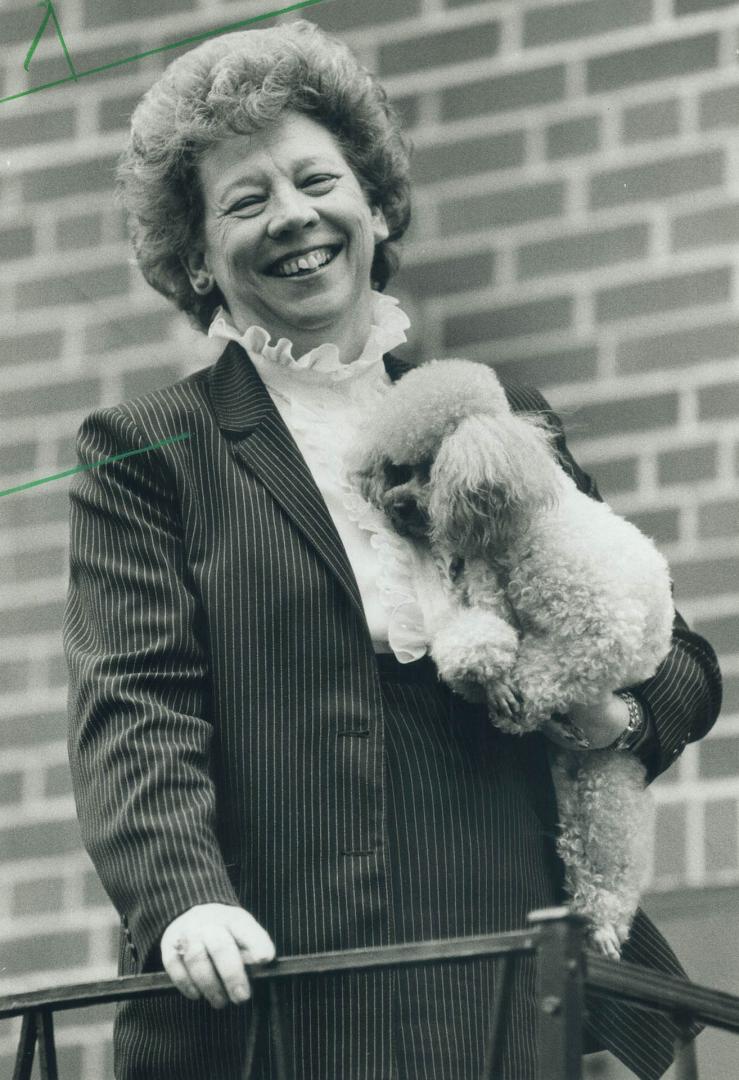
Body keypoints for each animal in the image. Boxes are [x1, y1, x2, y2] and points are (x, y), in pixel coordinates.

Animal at [347, 358, 674, 959]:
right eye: (396, 468)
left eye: (432, 468)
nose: (397, 505)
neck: (512, 531)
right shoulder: (480, 586)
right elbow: (475, 639)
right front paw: (485, 679)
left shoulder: (600, 631)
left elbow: (549, 665)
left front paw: (513, 701)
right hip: (570, 786)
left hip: (609, 782)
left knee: (610, 863)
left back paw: (604, 923)